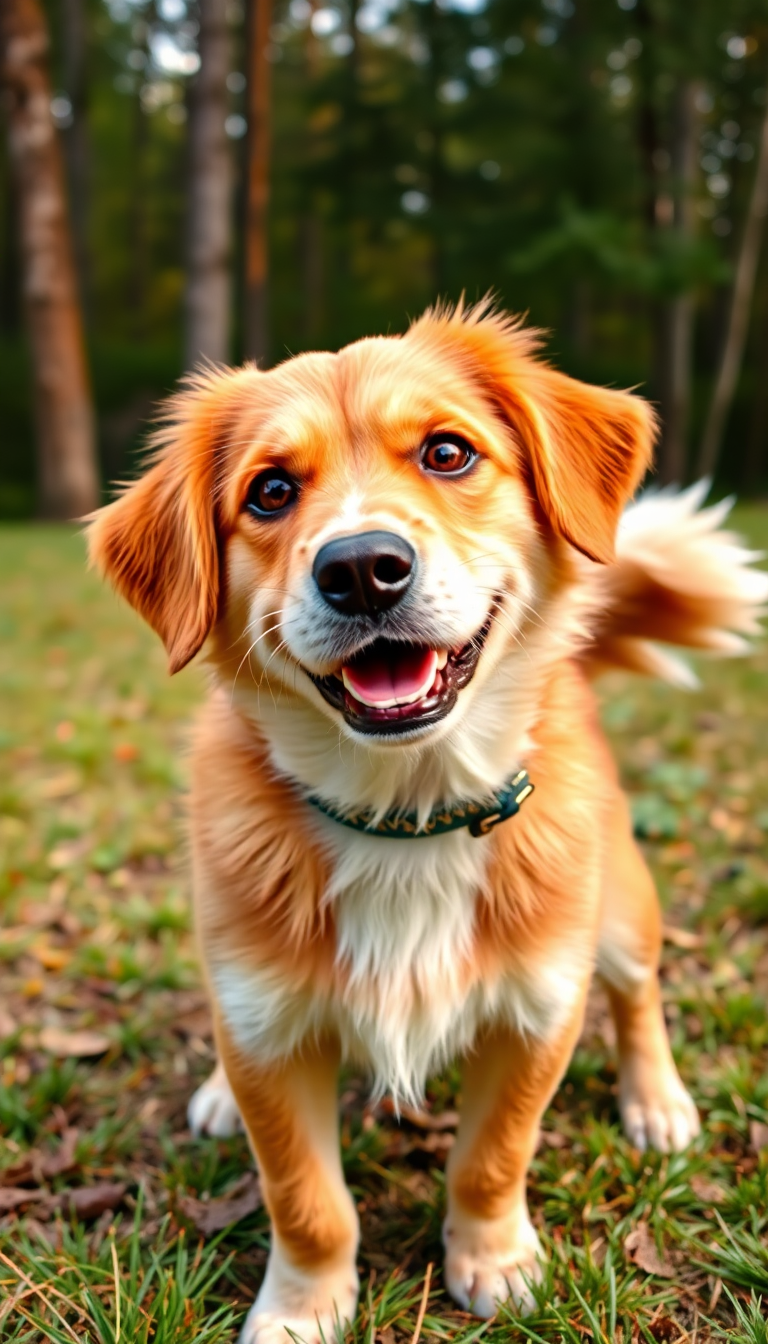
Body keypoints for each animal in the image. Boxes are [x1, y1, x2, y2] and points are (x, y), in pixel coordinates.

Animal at [87, 305, 763, 1344]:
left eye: (448, 452)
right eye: (271, 490)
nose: (362, 569)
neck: (405, 814)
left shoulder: (537, 1013)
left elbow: (492, 1157)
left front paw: (494, 1260)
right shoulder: (268, 1035)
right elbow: (307, 1201)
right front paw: (303, 1308)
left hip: (617, 908)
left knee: (638, 990)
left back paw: (656, 1100)